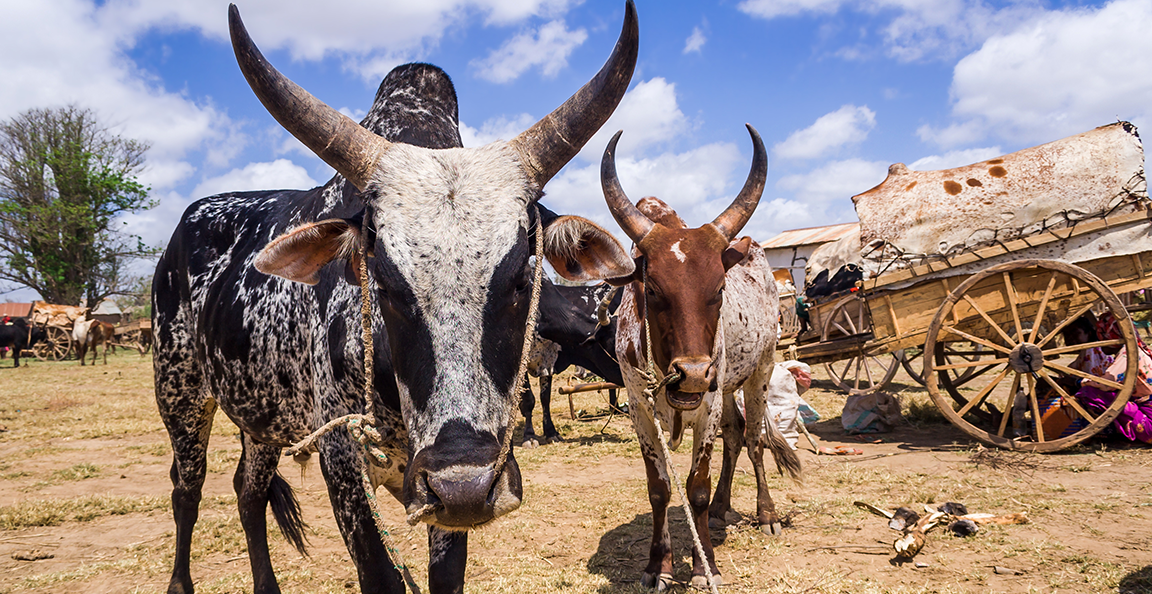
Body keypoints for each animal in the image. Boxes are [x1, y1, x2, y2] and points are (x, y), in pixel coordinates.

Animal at [520, 279, 623, 446]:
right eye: (614, 346)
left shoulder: (548, 361)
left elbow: (545, 398)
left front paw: (551, 432)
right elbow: (528, 399)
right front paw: (529, 436)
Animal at [600, 127, 802, 589]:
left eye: (719, 287)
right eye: (652, 289)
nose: (691, 373)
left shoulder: (705, 406)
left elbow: (697, 489)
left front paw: (703, 565)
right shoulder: (639, 409)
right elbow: (660, 489)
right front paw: (658, 567)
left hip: (758, 372)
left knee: (752, 440)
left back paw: (765, 513)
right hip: (724, 385)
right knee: (734, 435)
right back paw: (726, 507)